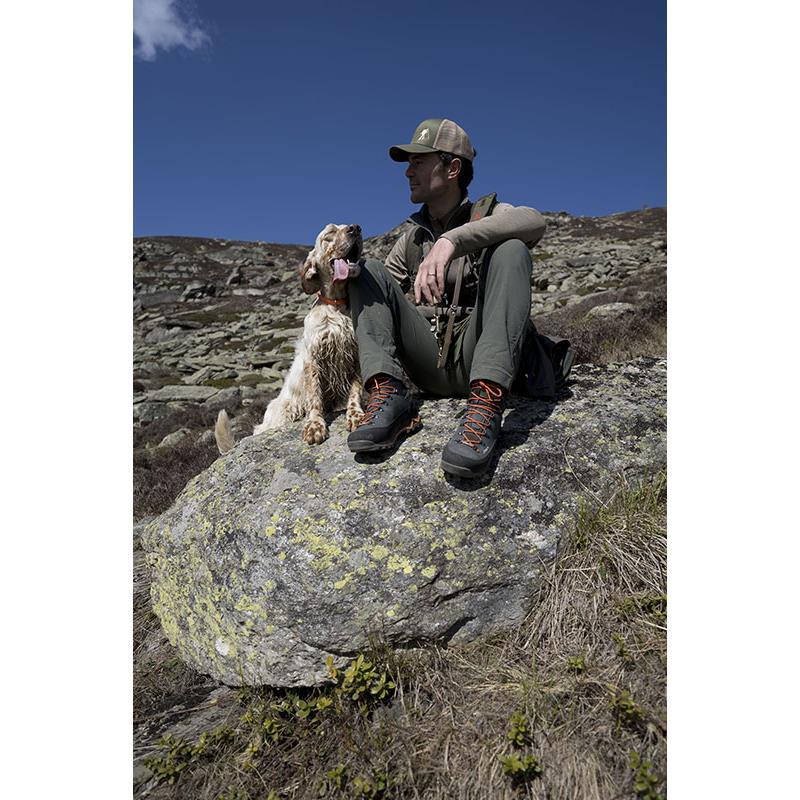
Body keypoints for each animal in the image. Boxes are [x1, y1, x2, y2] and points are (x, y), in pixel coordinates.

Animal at [215, 223, 364, 453]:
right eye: (329, 234)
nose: (355, 228)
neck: (336, 305)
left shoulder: (355, 353)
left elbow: (355, 391)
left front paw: (356, 415)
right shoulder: (314, 360)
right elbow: (315, 398)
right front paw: (314, 426)